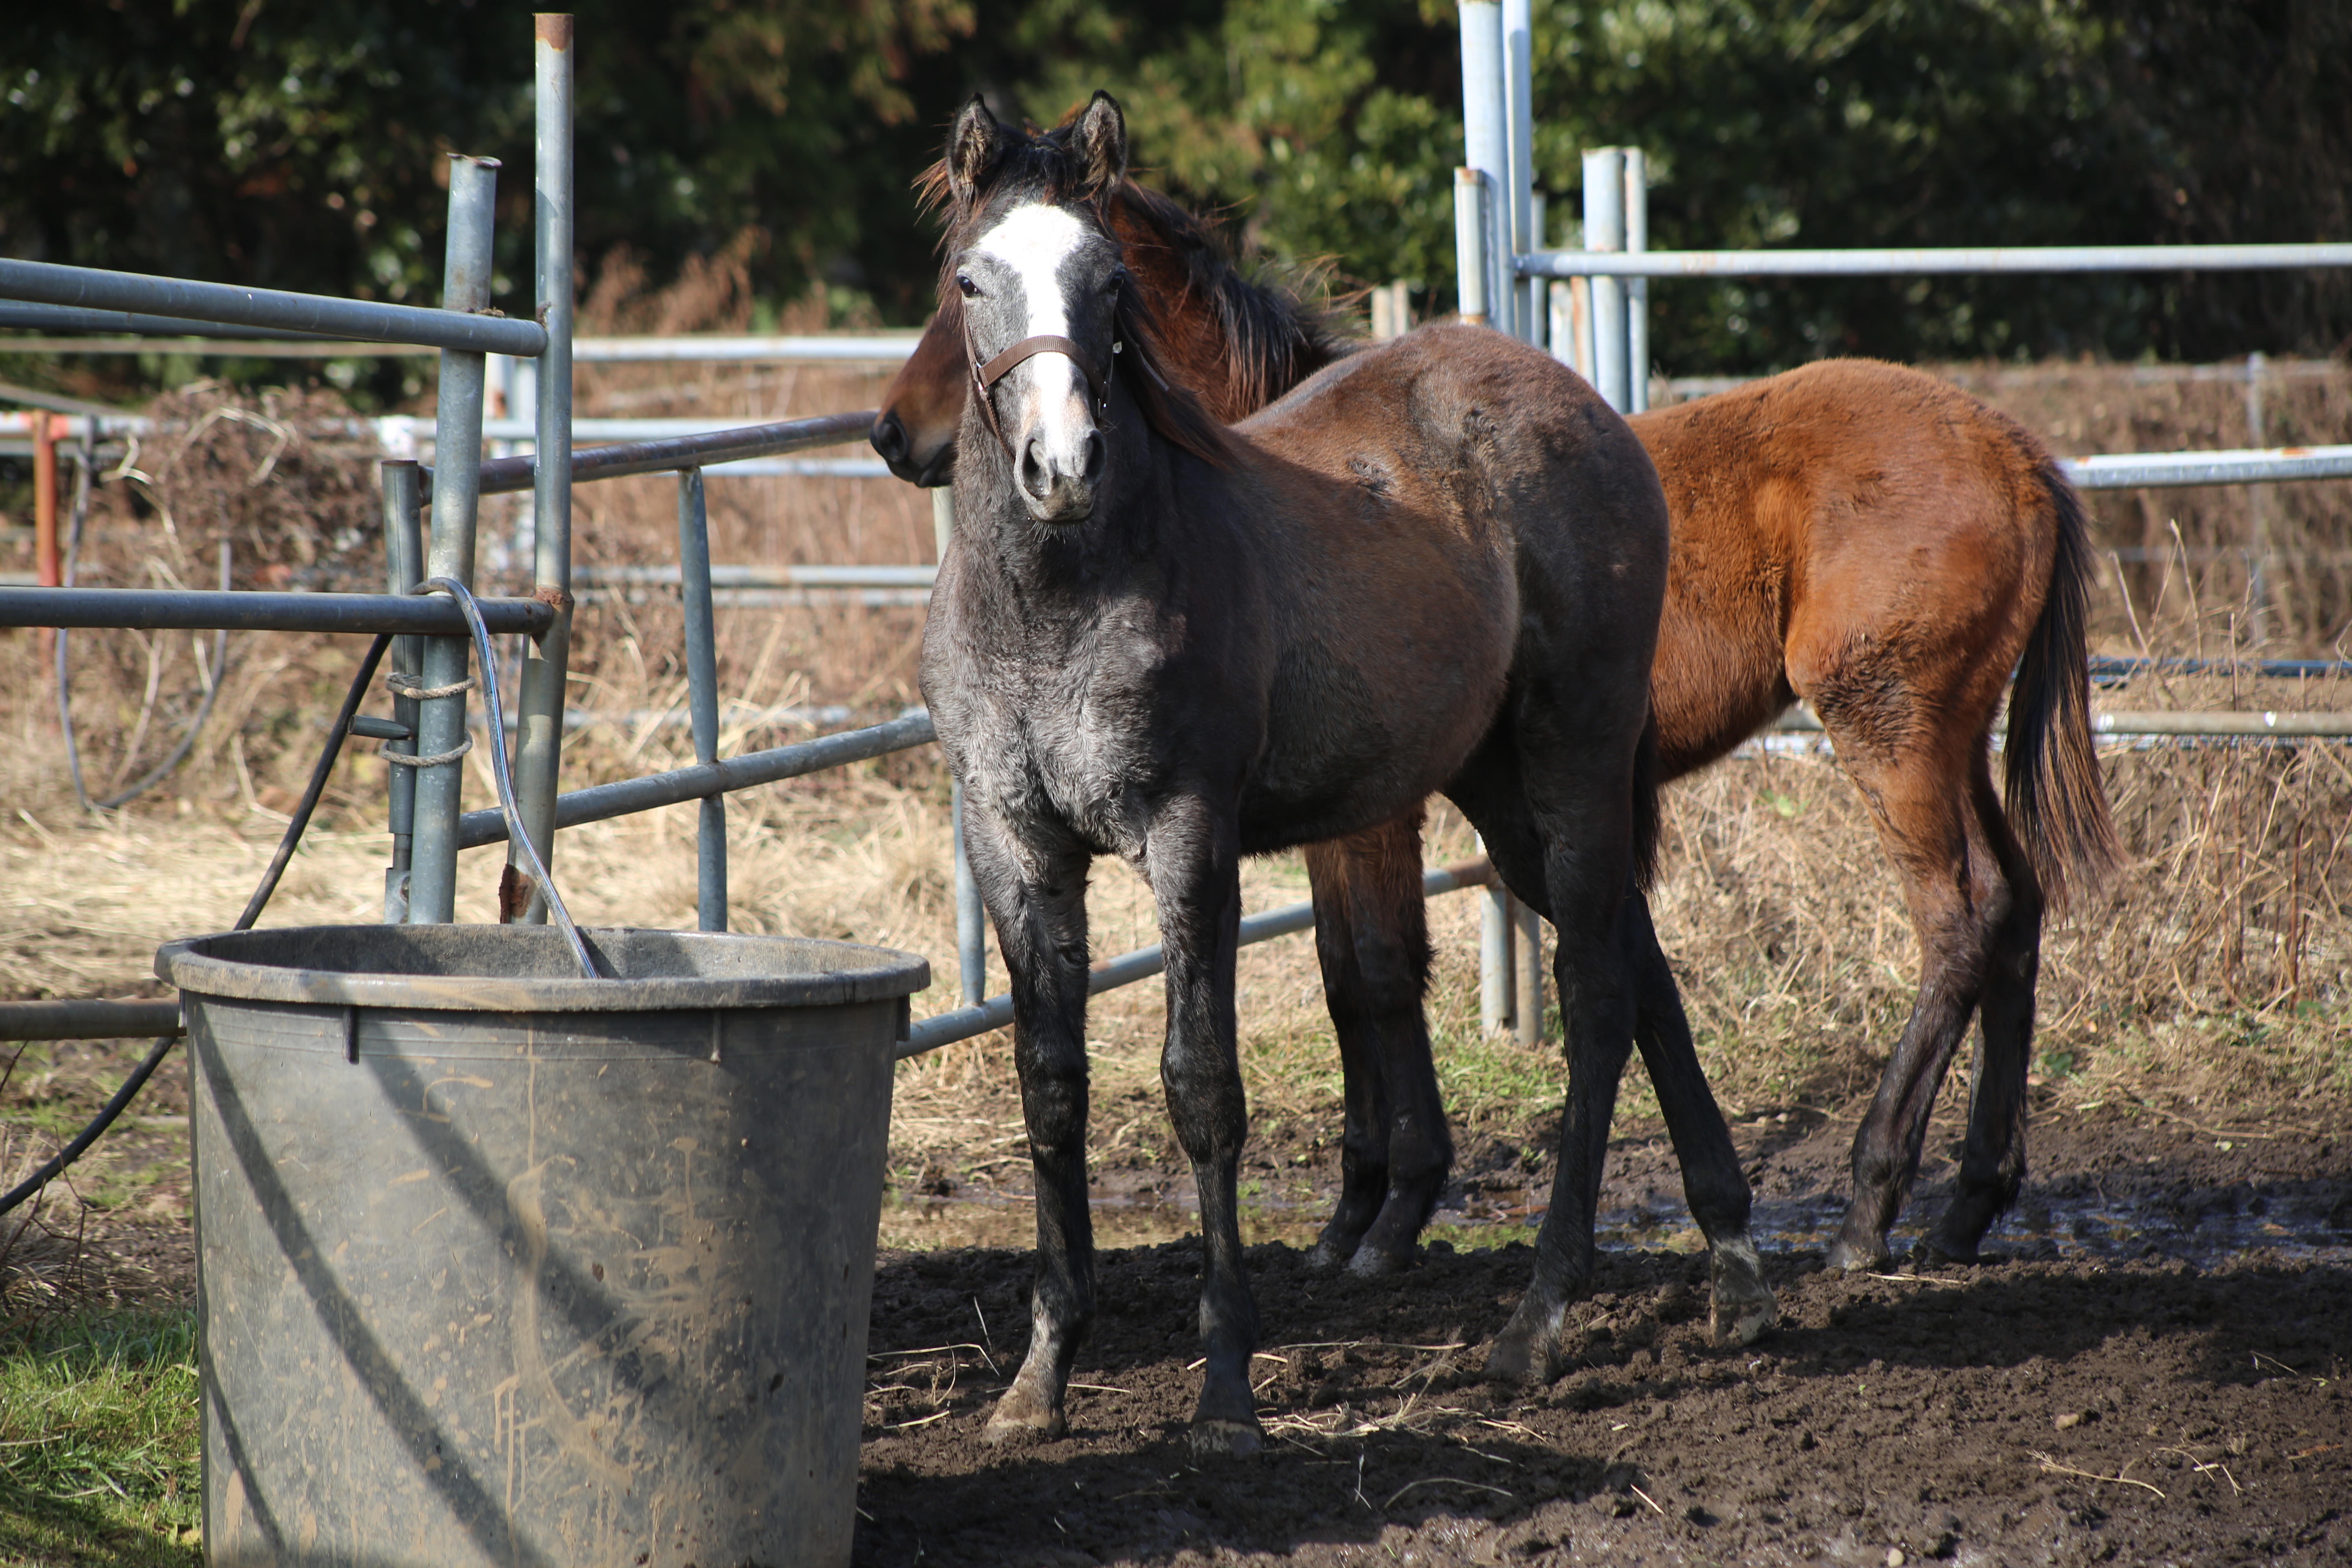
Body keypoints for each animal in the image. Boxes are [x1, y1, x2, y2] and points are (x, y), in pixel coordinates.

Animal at [875, 122, 2126, 1278]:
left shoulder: (1371, 818)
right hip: (1954, 735)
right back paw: (1967, 1204)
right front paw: (1358, 1213)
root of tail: (2017, 452)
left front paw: (1385, 1213)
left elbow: (1373, 974)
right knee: (2018, 908)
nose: (893, 432)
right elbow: (1354, 979)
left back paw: (1870, 1206)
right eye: (961, 272)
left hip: (1888, 729)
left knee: (1960, 915)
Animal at [927, 92, 1768, 1457]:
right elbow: (1051, 1091)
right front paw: (1041, 1377)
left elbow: (1202, 1087)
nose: (1062, 466)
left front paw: (1226, 1386)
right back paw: (1736, 1267)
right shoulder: (1013, 844)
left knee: (1596, 994)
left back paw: (1539, 1319)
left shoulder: (1189, 836)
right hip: (1498, 785)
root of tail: (1579, 406)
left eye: (1111, 283)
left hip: (1575, 754)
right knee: (1638, 962)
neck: (1055, 599)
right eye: (970, 278)